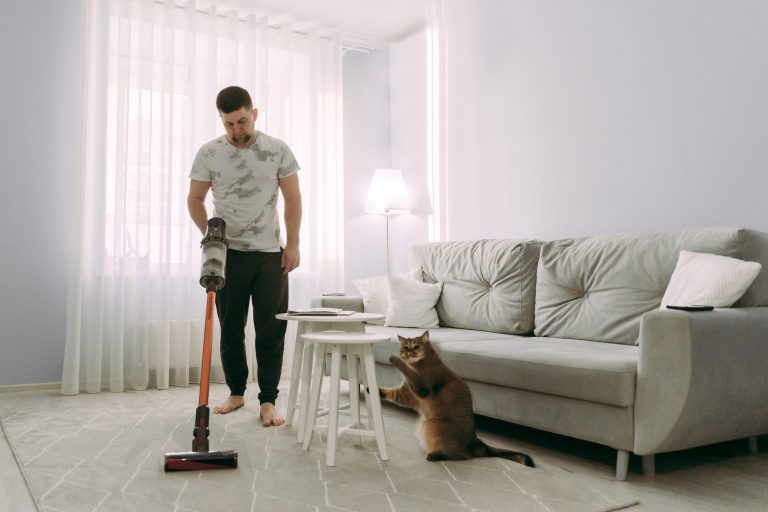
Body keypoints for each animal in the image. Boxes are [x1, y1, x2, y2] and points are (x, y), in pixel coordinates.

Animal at [378, 332, 536, 468]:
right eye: (405, 347)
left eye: (416, 347)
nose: (408, 353)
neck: (421, 363)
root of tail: (475, 439)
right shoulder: (406, 394)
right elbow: (388, 393)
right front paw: (373, 390)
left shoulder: (422, 387)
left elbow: (408, 370)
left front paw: (394, 358)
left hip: (432, 424)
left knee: (465, 456)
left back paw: (435, 455)